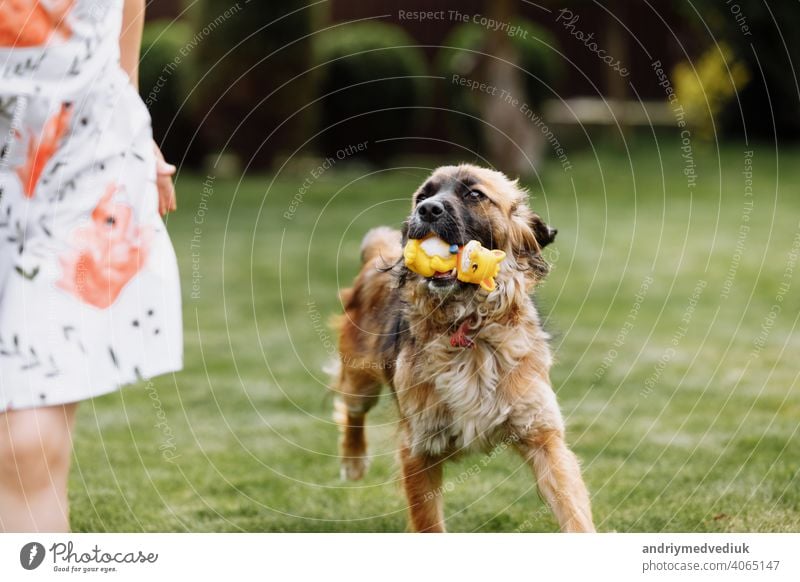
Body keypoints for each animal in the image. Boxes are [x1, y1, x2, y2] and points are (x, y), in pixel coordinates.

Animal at [330, 163, 592, 532]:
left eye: (474, 194)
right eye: (422, 196)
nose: (427, 210)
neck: (468, 324)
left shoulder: (542, 434)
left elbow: (574, 512)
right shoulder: (419, 447)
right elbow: (429, 524)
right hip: (361, 378)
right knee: (350, 410)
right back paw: (353, 462)